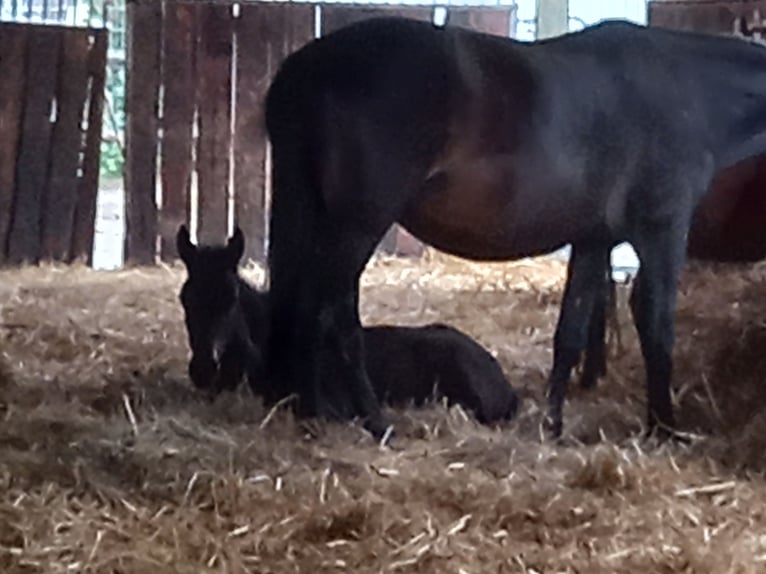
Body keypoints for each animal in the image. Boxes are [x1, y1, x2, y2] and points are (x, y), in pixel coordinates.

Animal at [260, 18, 766, 440]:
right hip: (357, 225)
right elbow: (656, 324)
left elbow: (571, 333)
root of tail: (302, 70)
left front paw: (554, 426)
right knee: (331, 314)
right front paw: (663, 427)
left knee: (302, 306)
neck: (688, 92)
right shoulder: (662, 229)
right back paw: (372, 420)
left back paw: (314, 411)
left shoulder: (593, 238)